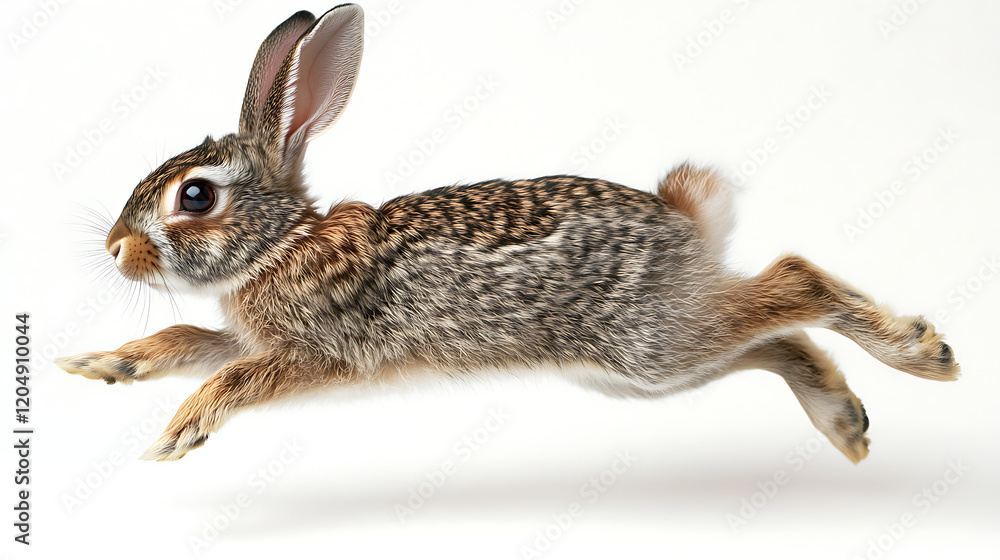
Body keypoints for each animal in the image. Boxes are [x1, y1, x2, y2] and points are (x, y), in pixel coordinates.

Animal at [56, 4, 959, 462]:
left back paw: (923, 356)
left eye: (195, 196)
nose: (114, 249)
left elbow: (238, 377)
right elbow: (187, 338)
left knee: (795, 280)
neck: (280, 244)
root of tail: (684, 216)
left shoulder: (322, 353)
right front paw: (107, 365)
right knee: (776, 337)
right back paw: (844, 421)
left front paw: (180, 430)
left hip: (653, 343)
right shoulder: (243, 332)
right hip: (652, 367)